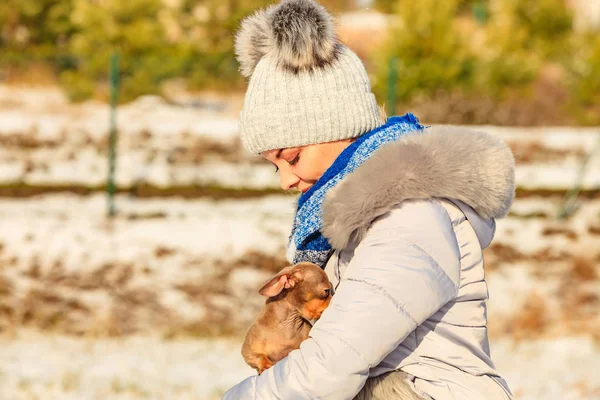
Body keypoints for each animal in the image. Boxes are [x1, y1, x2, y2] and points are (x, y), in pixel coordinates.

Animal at [241, 262, 424, 400]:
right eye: (326, 291)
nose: (337, 299)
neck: (287, 325)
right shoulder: (248, 351)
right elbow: (257, 357)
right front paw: (265, 366)